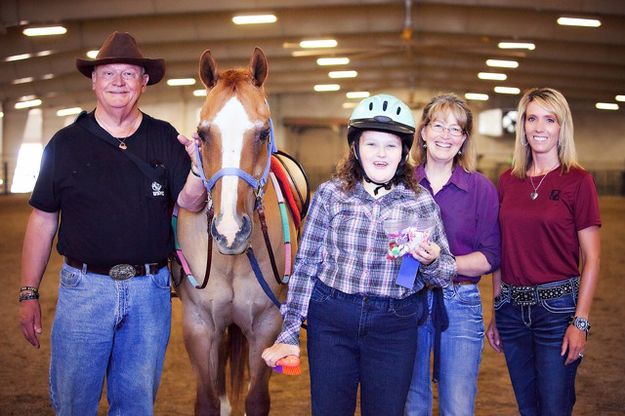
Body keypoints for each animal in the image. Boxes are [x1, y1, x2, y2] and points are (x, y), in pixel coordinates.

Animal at [173, 47, 304, 414]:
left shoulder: (266, 323)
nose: (230, 231)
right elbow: (207, 400)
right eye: (202, 133)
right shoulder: (200, 326)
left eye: (262, 133)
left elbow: (256, 399)